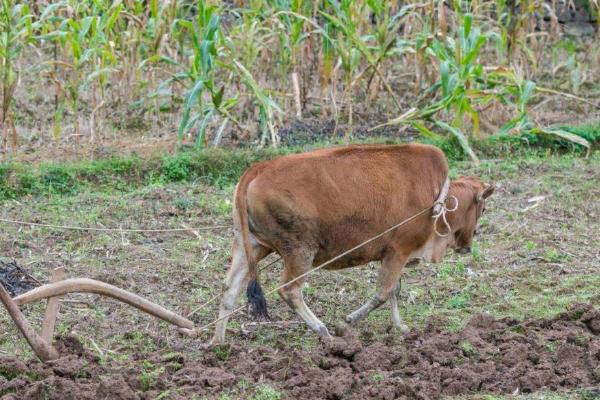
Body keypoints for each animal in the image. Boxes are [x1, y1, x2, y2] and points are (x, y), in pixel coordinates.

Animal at [211, 144, 492, 344]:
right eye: (483, 207)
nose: (469, 243)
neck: (438, 196)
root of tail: (258, 169)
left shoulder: (393, 255)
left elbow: (394, 291)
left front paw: (400, 326)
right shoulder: (398, 252)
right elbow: (383, 293)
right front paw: (346, 322)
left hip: (251, 246)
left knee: (229, 289)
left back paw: (218, 342)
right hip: (299, 252)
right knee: (289, 290)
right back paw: (323, 331)